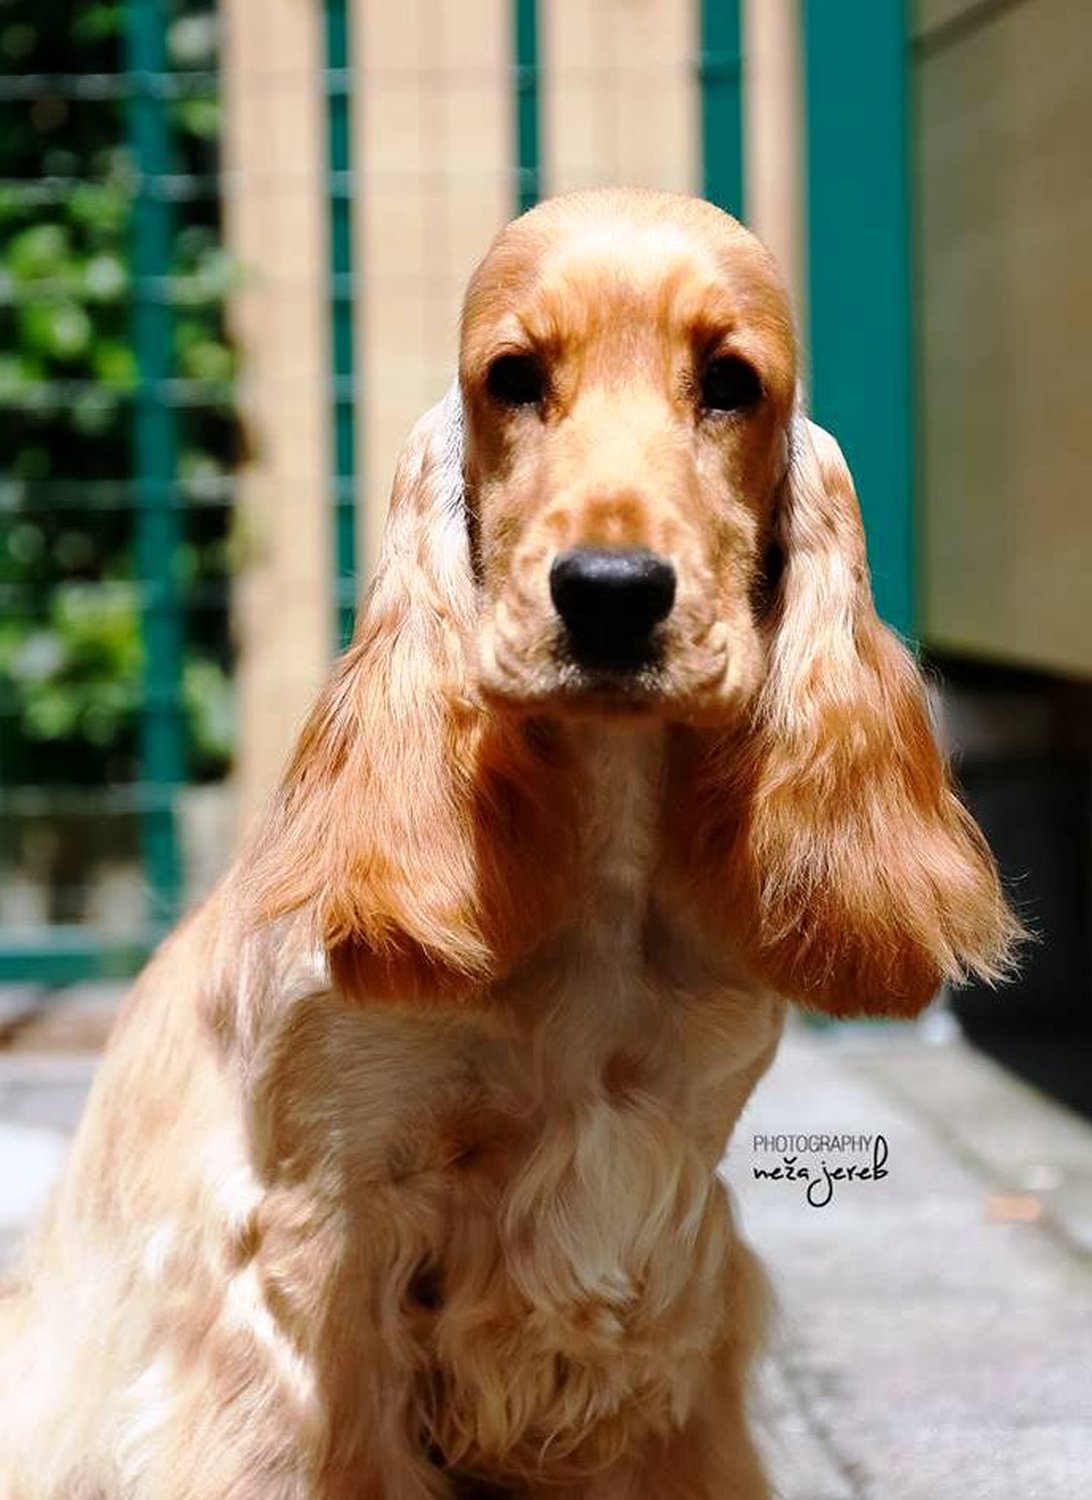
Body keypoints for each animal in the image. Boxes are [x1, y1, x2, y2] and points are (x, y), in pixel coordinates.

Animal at [0, 187, 1018, 1499]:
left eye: (731, 381)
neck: (605, 863)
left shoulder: (670, 1243)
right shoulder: (320, 1246)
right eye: (514, 377)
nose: (611, 593)